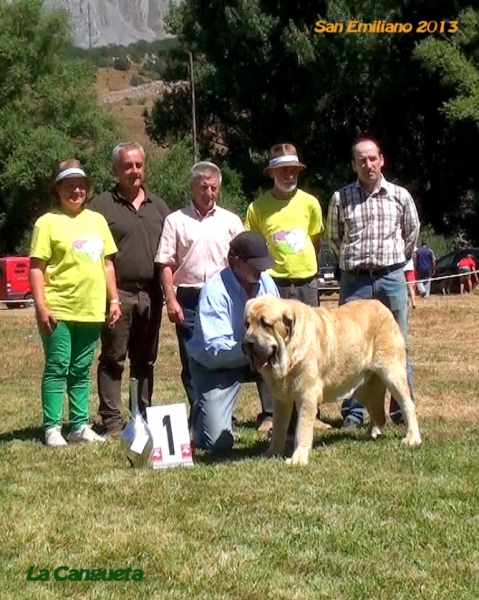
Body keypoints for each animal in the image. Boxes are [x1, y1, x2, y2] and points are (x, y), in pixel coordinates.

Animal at [246, 292, 422, 466]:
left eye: (265, 324)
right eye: (247, 324)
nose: (247, 343)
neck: (289, 351)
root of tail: (382, 307)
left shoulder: (307, 396)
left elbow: (301, 429)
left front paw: (298, 459)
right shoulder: (282, 400)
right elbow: (278, 429)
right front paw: (271, 453)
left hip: (392, 375)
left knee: (408, 404)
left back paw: (412, 438)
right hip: (363, 388)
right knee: (377, 412)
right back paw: (372, 434)